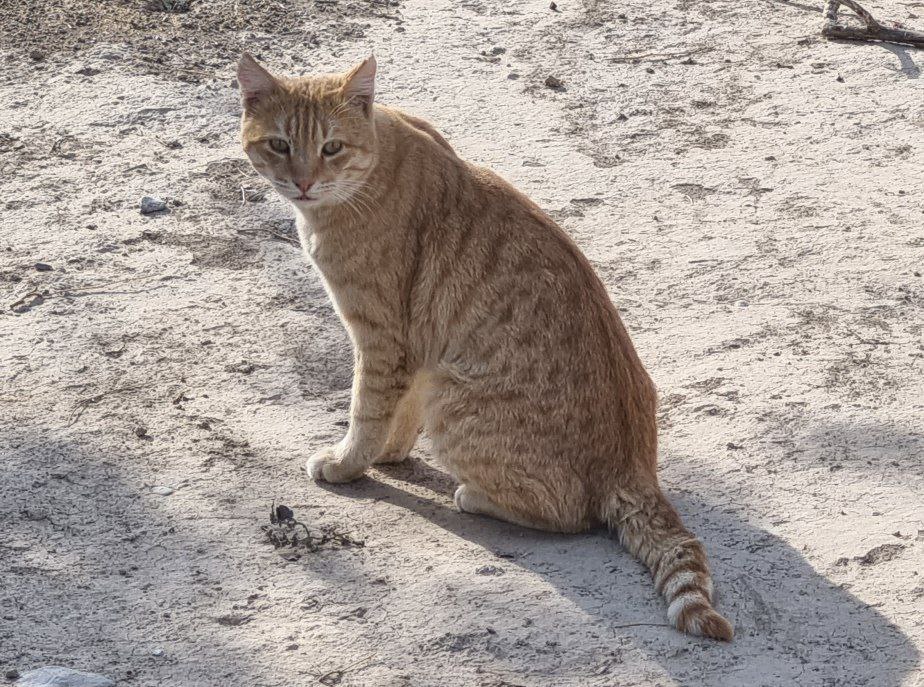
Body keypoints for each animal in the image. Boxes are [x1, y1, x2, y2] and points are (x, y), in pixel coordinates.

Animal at [237, 53, 733, 641]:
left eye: (331, 147)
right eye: (280, 144)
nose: (304, 181)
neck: (376, 160)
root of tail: (636, 468)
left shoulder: (381, 337)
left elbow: (367, 411)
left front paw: (349, 463)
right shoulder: (418, 351)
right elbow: (397, 414)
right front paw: (389, 455)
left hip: (454, 403)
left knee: (569, 515)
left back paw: (472, 496)